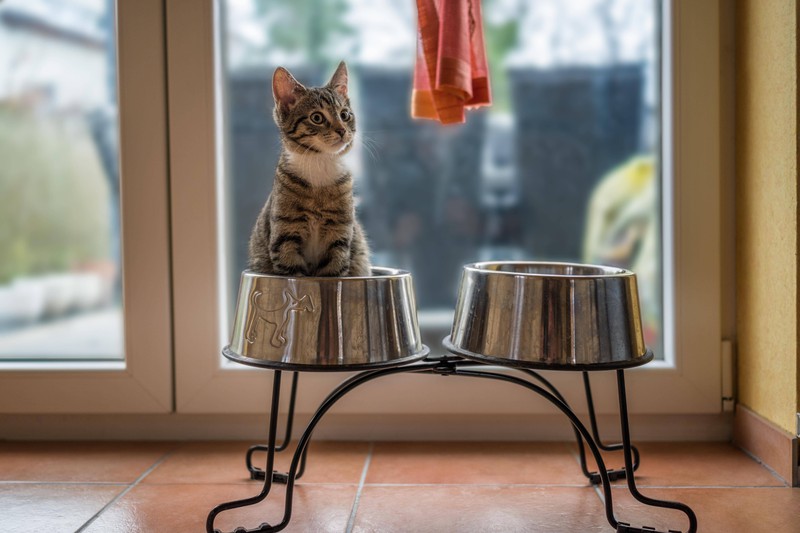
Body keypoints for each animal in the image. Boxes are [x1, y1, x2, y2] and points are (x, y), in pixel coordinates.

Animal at [247, 61, 372, 278]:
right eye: (317, 118)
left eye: (345, 115)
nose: (342, 130)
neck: (320, 162)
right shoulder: (285, 236)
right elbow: (293, 271)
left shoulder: (340, 236)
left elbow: (334, 271)